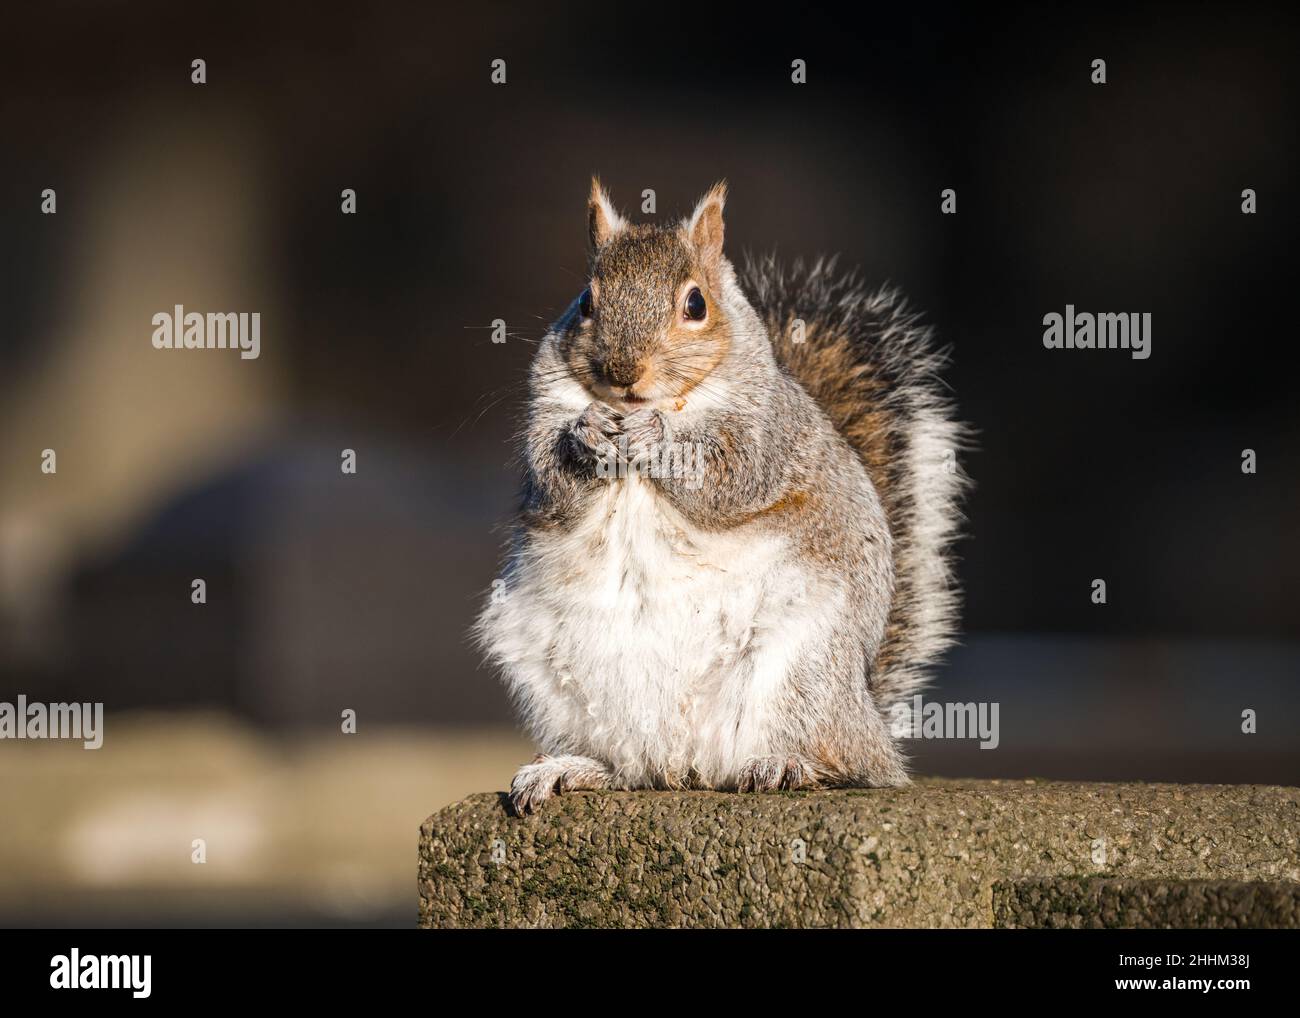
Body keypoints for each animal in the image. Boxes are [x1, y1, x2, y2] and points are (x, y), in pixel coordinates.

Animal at [476, 180, 968, 815]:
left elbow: (730, 476)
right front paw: (586, 437)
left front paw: (657, 437)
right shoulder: (545, 417)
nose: (623, 370)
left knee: (836, 761)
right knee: (632, 770)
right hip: (557, 684)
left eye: (696, 305)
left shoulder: (766, 434)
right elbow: (552, 480)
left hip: (801, 670)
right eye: (585, 301)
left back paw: (788, 764)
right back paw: (574, 768)